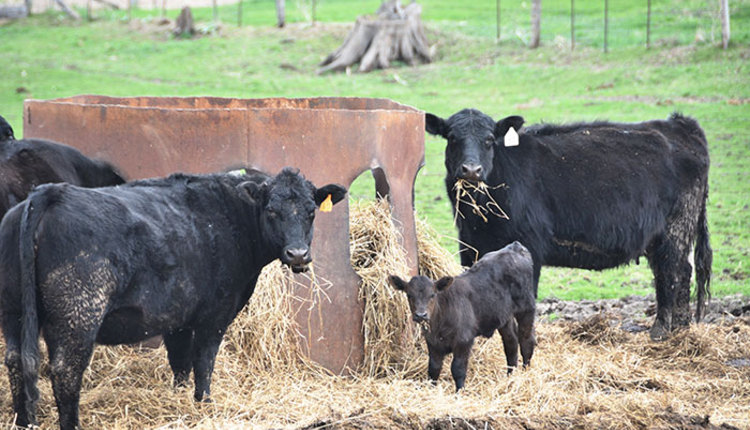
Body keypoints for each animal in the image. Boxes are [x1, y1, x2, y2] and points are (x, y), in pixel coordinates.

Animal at [0, 167, 346, 430]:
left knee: (17, 362)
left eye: (311, 212)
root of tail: (49, 194)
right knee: (65, 371)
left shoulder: (176, 317)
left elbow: (180, 364)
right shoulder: (214, 315)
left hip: (14, 313)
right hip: (78, 315)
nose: (298, 254)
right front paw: (204, 405)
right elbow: (203, 363)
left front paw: (180, 400)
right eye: (272, 211)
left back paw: (23, 422)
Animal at [390, 240, 536, 392]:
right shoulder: (432, 343)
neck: (439, 325)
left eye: (432, 295)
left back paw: (525, 372)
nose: (421, 315)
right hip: (504, 316)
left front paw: (459, 391)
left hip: (526, 307)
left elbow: (457, 369)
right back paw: (510, 375)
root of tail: (514, 247)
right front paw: (431, 388)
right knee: (511, 342)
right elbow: (433, 369)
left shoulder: (463, 340)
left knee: (526, 340)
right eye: (409, 295)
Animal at [428, 109, 712, 340]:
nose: (471, 170)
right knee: (680, 273)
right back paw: (681, 329)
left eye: (489, 140)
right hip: (660, 235)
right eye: (452, 138)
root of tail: (679, 124)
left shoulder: (529, 245)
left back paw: (661, 331)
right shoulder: (470, 246)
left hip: (676, 226)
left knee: (672, 273)